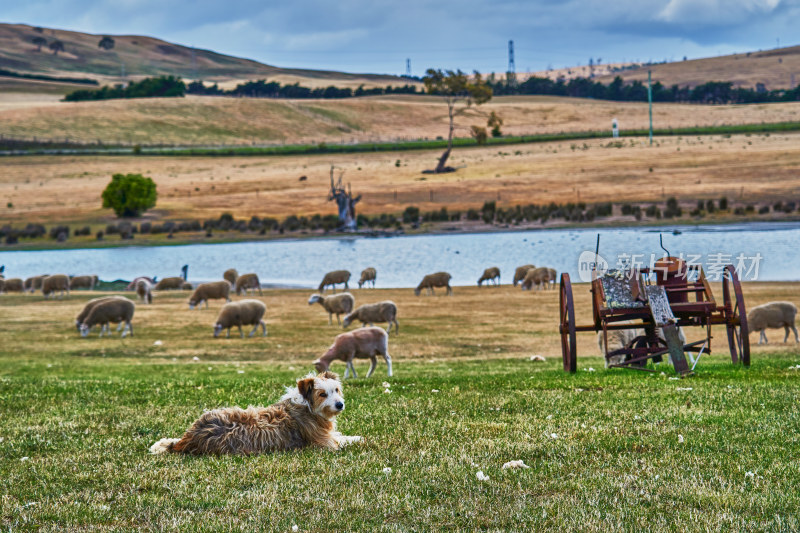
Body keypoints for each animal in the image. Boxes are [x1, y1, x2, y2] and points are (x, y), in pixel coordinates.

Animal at [150, 370, 362, 454]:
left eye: (336, 389)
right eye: (322, 394)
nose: (340, 405)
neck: (307, 406)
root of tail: (189, 439)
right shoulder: (324, 443)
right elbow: (343, 440)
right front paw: (358, 438)